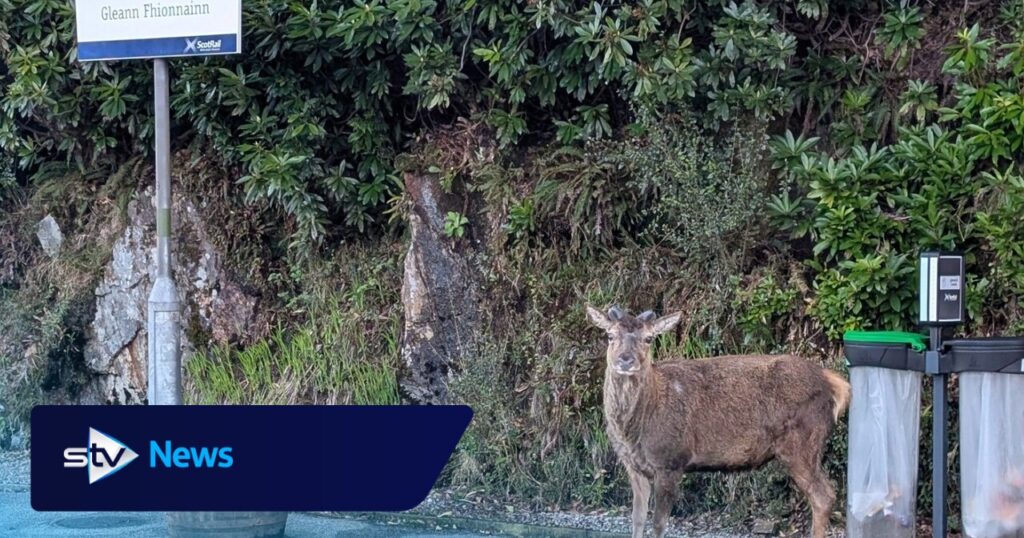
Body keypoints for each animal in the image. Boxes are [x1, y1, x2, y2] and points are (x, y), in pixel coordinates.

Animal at [586, 305, 851, 538]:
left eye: (649, 338)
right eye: (610, 335)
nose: (626, 359)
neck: (633, 429)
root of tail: (835, 384)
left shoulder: (670, 461)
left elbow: (659, 524)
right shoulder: (633, 466)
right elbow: (637, 521)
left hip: (803, 442)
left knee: (824, 496)